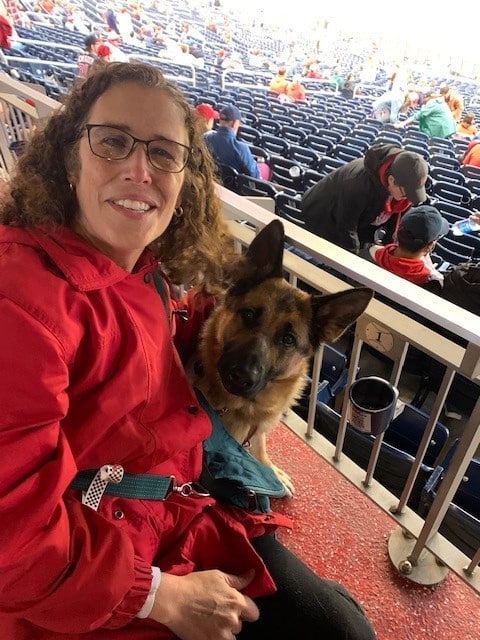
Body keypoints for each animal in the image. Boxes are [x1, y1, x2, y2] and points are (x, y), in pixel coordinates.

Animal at [189, 220, 374, 496]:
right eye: (249, 314)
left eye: (288, 339)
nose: (241, 376)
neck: (241, 407)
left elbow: (259, 442)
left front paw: (268, 468)